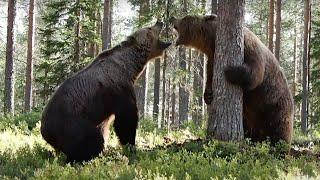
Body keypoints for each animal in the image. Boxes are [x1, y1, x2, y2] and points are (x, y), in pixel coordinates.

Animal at [41, 21, 171, 163]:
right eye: (149, 28)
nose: (160, 21)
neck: (130, 68)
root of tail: (44, 129)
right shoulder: (119, 88)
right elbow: (126, 119)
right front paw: (131, 147)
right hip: (72, 123)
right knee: (90, 140)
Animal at [171, 14, 294, 144]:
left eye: (184, 18)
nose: (172, 18)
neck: (212, 42)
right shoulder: (212, 57)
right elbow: (210, 75)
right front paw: (208, 95)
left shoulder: (248, 47)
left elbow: (255, 73)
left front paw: (229, 70)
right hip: (250, 116)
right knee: (248, 125)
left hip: (275, 105)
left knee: (277, 126)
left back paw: (277, 143)